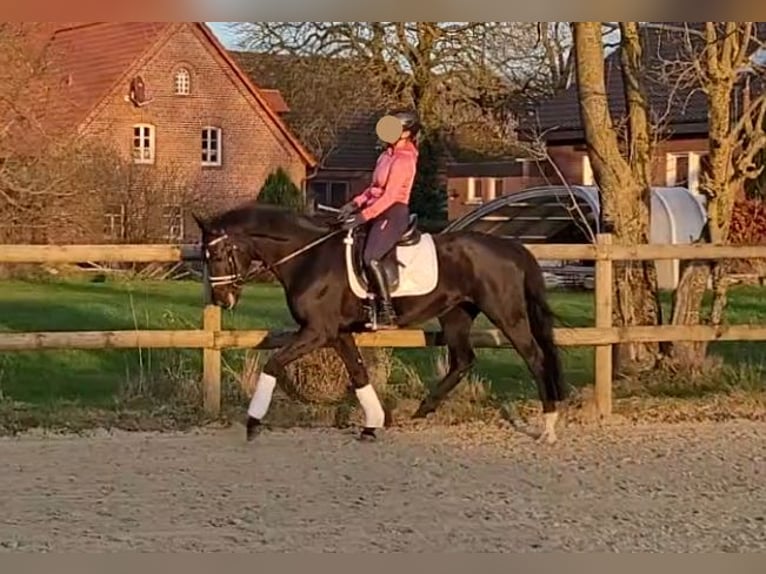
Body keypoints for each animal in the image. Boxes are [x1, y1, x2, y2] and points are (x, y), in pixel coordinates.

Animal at [196, 202, 568, 446]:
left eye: (218, 255)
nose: (222, 300)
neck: (308, 257)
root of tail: (510, 246)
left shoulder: (317, 331)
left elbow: (273, 364)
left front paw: (252, 422)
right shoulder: (337, 333)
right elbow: (359, 375)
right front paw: (372, 425)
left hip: (506, 313)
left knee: (534, 357)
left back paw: (548, 428)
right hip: (456, 313)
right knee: (463, 360)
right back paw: (422, 410)